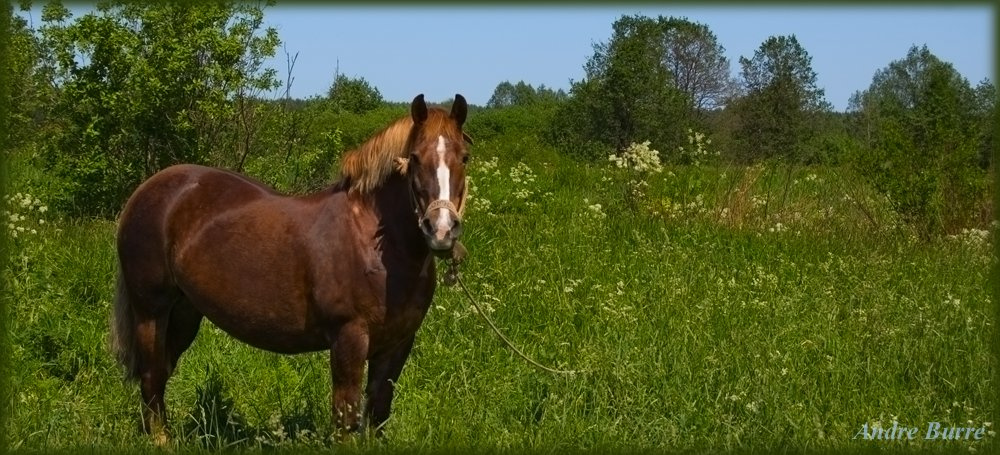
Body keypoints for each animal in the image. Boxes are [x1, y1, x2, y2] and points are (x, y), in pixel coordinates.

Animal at [110, 94, 471, 444]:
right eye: (415, 158)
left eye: (465, 157)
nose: (441, 230)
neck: (372, 242)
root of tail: (147, 190)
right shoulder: (349, 338)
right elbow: (346, 418)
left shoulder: (398, 344)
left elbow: (379, 411)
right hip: (151, 311)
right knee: (151, 374)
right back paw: (160, 440)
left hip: (185, 312)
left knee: (162, 370)